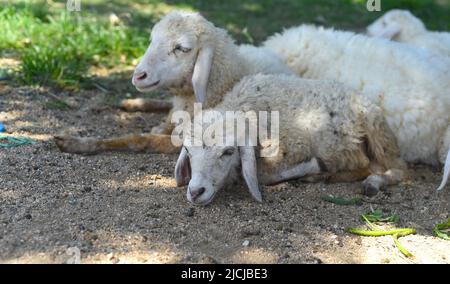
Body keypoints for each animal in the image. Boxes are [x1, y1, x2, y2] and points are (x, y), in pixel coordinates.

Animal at [54, 10, 294, 155]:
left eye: (182, 48)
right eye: (152, 40)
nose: (138, 76)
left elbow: (139, 139)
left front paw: (78, 143)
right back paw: (133, 103)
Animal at [177, 74, 408, 205]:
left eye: (228, 152)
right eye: (188, 151)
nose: (196, 192)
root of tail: (363, 104)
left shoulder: (292, 148)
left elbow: (266, 176)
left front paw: (313, 167)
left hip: (359, 139)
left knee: (392, 168)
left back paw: (369, 182)